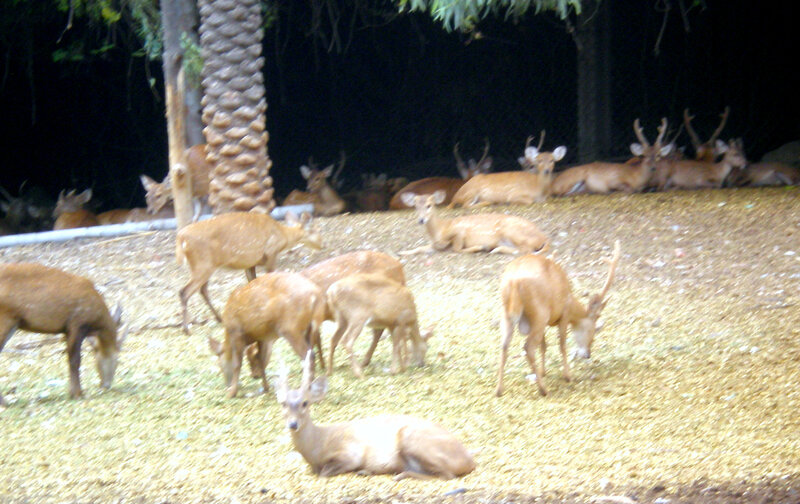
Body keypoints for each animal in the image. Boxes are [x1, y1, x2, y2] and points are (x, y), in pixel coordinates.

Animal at [0, 263, 127, 405]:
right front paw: (77, 394)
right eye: (117, 359)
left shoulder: (67, 330)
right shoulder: (76, 324)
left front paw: (73, 392)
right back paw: (4, 402)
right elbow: (75, 360)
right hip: (5, 319)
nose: (106, 385)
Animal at [175, 211, 322, 334]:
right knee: (184, 291)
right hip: (203, 263)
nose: (322, 244)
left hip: (206, 265)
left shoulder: (250, 263)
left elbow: (253, 283)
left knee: (202, 290)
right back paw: (186, 328)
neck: (283, 237)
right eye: (315, 230)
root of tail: (181, 237)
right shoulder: (271, 253)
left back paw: (219, 319)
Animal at [276, 350, 476, 479]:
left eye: (305, 403)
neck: (318, 446)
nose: (293, 424)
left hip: (412, 438)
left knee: (447, 475)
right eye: (283, 403)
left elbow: (324, 473)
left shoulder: (351, 452)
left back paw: (395, 473)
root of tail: (469, 460)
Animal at [399, 190, 549, 255]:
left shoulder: (460, 231)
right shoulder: (436, 245)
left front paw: (479, 247)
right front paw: (402, 253)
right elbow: (420, 248)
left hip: (511, 230)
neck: (440, 230)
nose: (421, 220)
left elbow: (457, 248)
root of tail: (543, 238)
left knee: (526, 250)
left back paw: (493, 249)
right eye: (415, 206)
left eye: (429, 205)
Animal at [496, 241, 621, 398]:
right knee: (528, 347)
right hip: (539, 313)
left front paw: (543, 372)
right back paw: (543, 389)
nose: (587, 354)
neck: (572, 303)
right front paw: (568, 375)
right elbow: (562, 344)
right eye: (593, 331)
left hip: (507, 314)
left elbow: (544, 345)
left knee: (504, 345)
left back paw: (499, 390)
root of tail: (513, 282)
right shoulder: (564, 314)